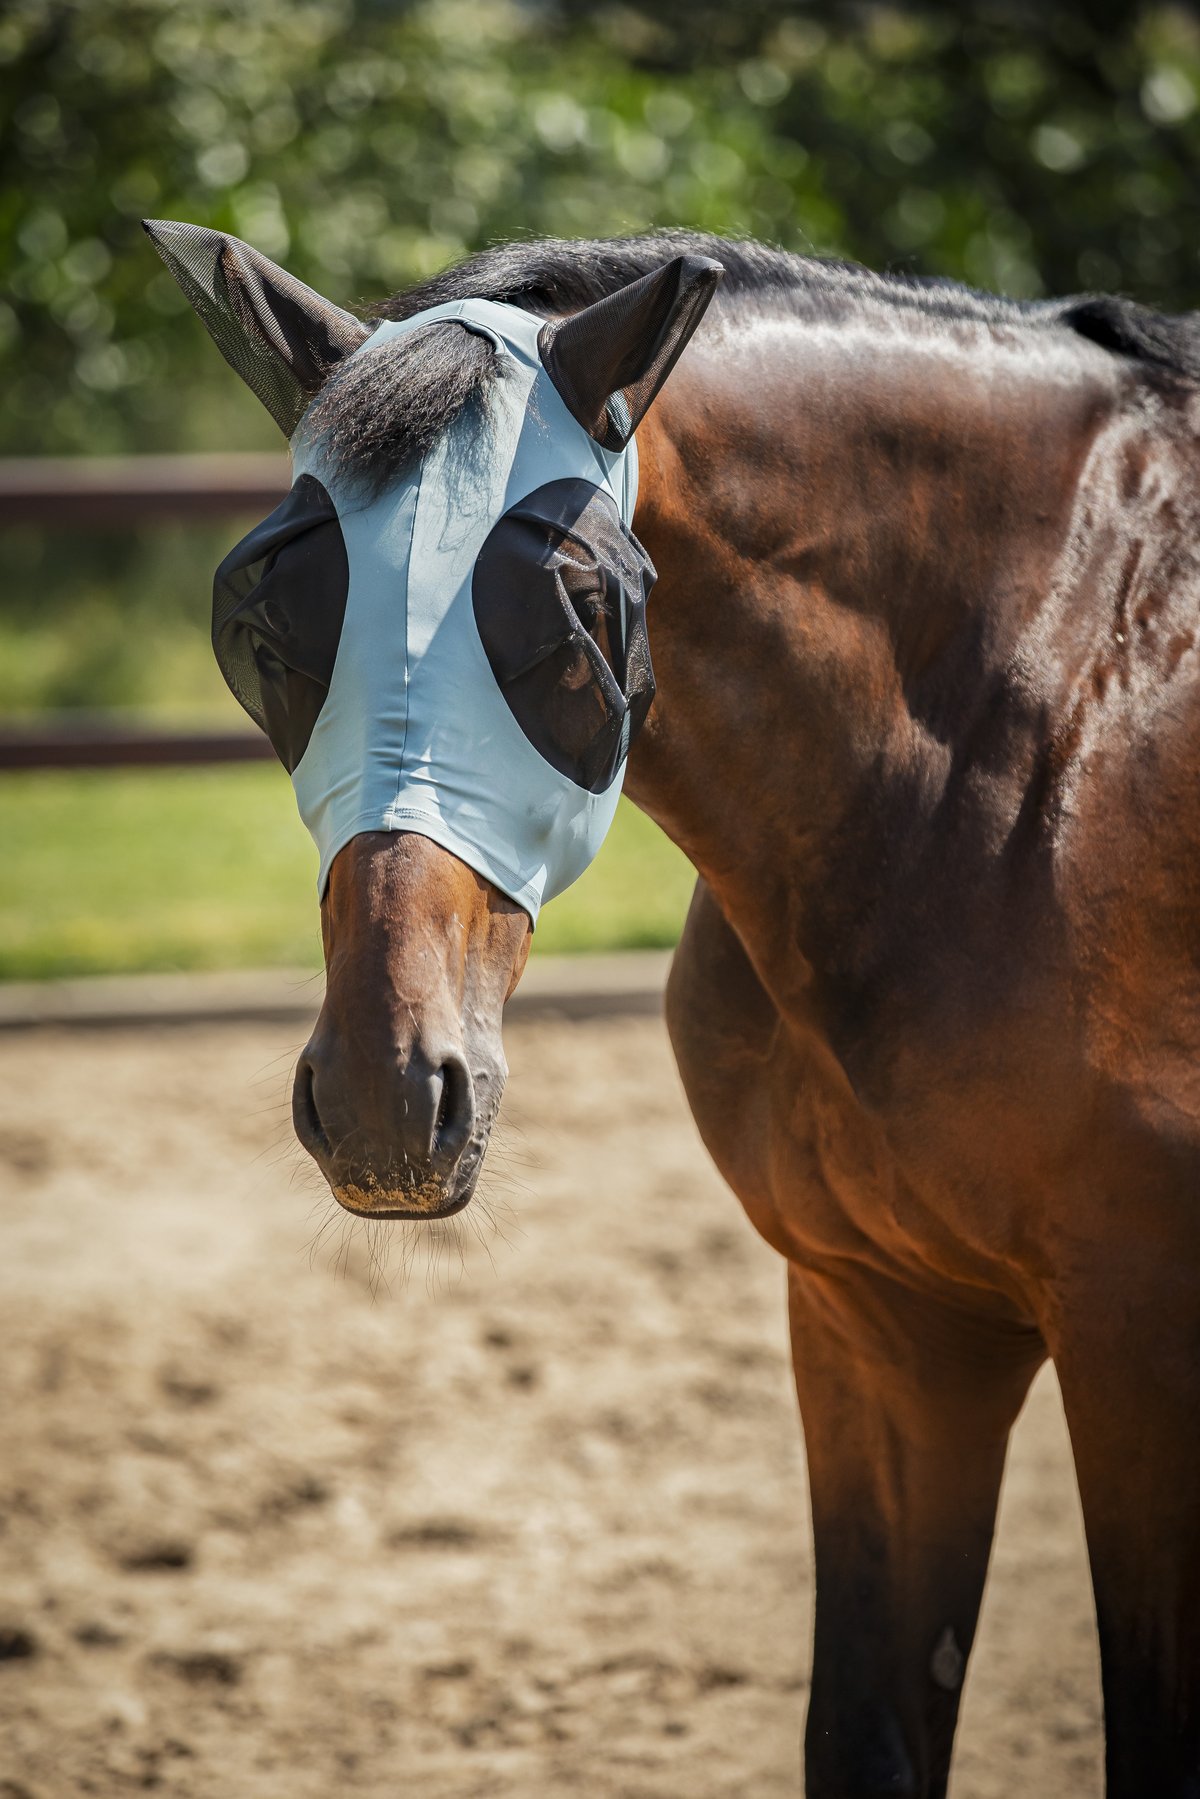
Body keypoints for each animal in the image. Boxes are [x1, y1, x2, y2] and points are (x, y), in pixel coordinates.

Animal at [148, 218, 1200, 1796]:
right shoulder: (881, 1323)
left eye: (583, 605)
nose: (390, 1096)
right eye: (265, 620)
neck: (1038, 742)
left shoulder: (1140, 1351)